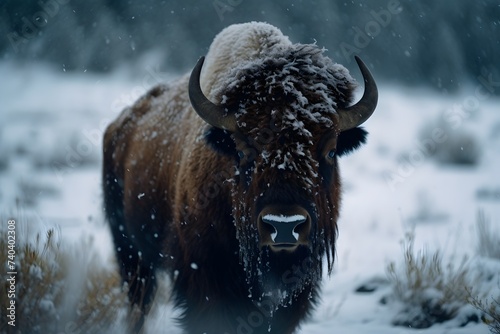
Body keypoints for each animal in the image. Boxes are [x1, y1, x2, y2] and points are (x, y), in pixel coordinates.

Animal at [103, 22, 378, 332]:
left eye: (331, 150)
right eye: (243, 150)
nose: (284, 226)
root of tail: (121, 124)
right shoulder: (204, 280)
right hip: (131, 254)